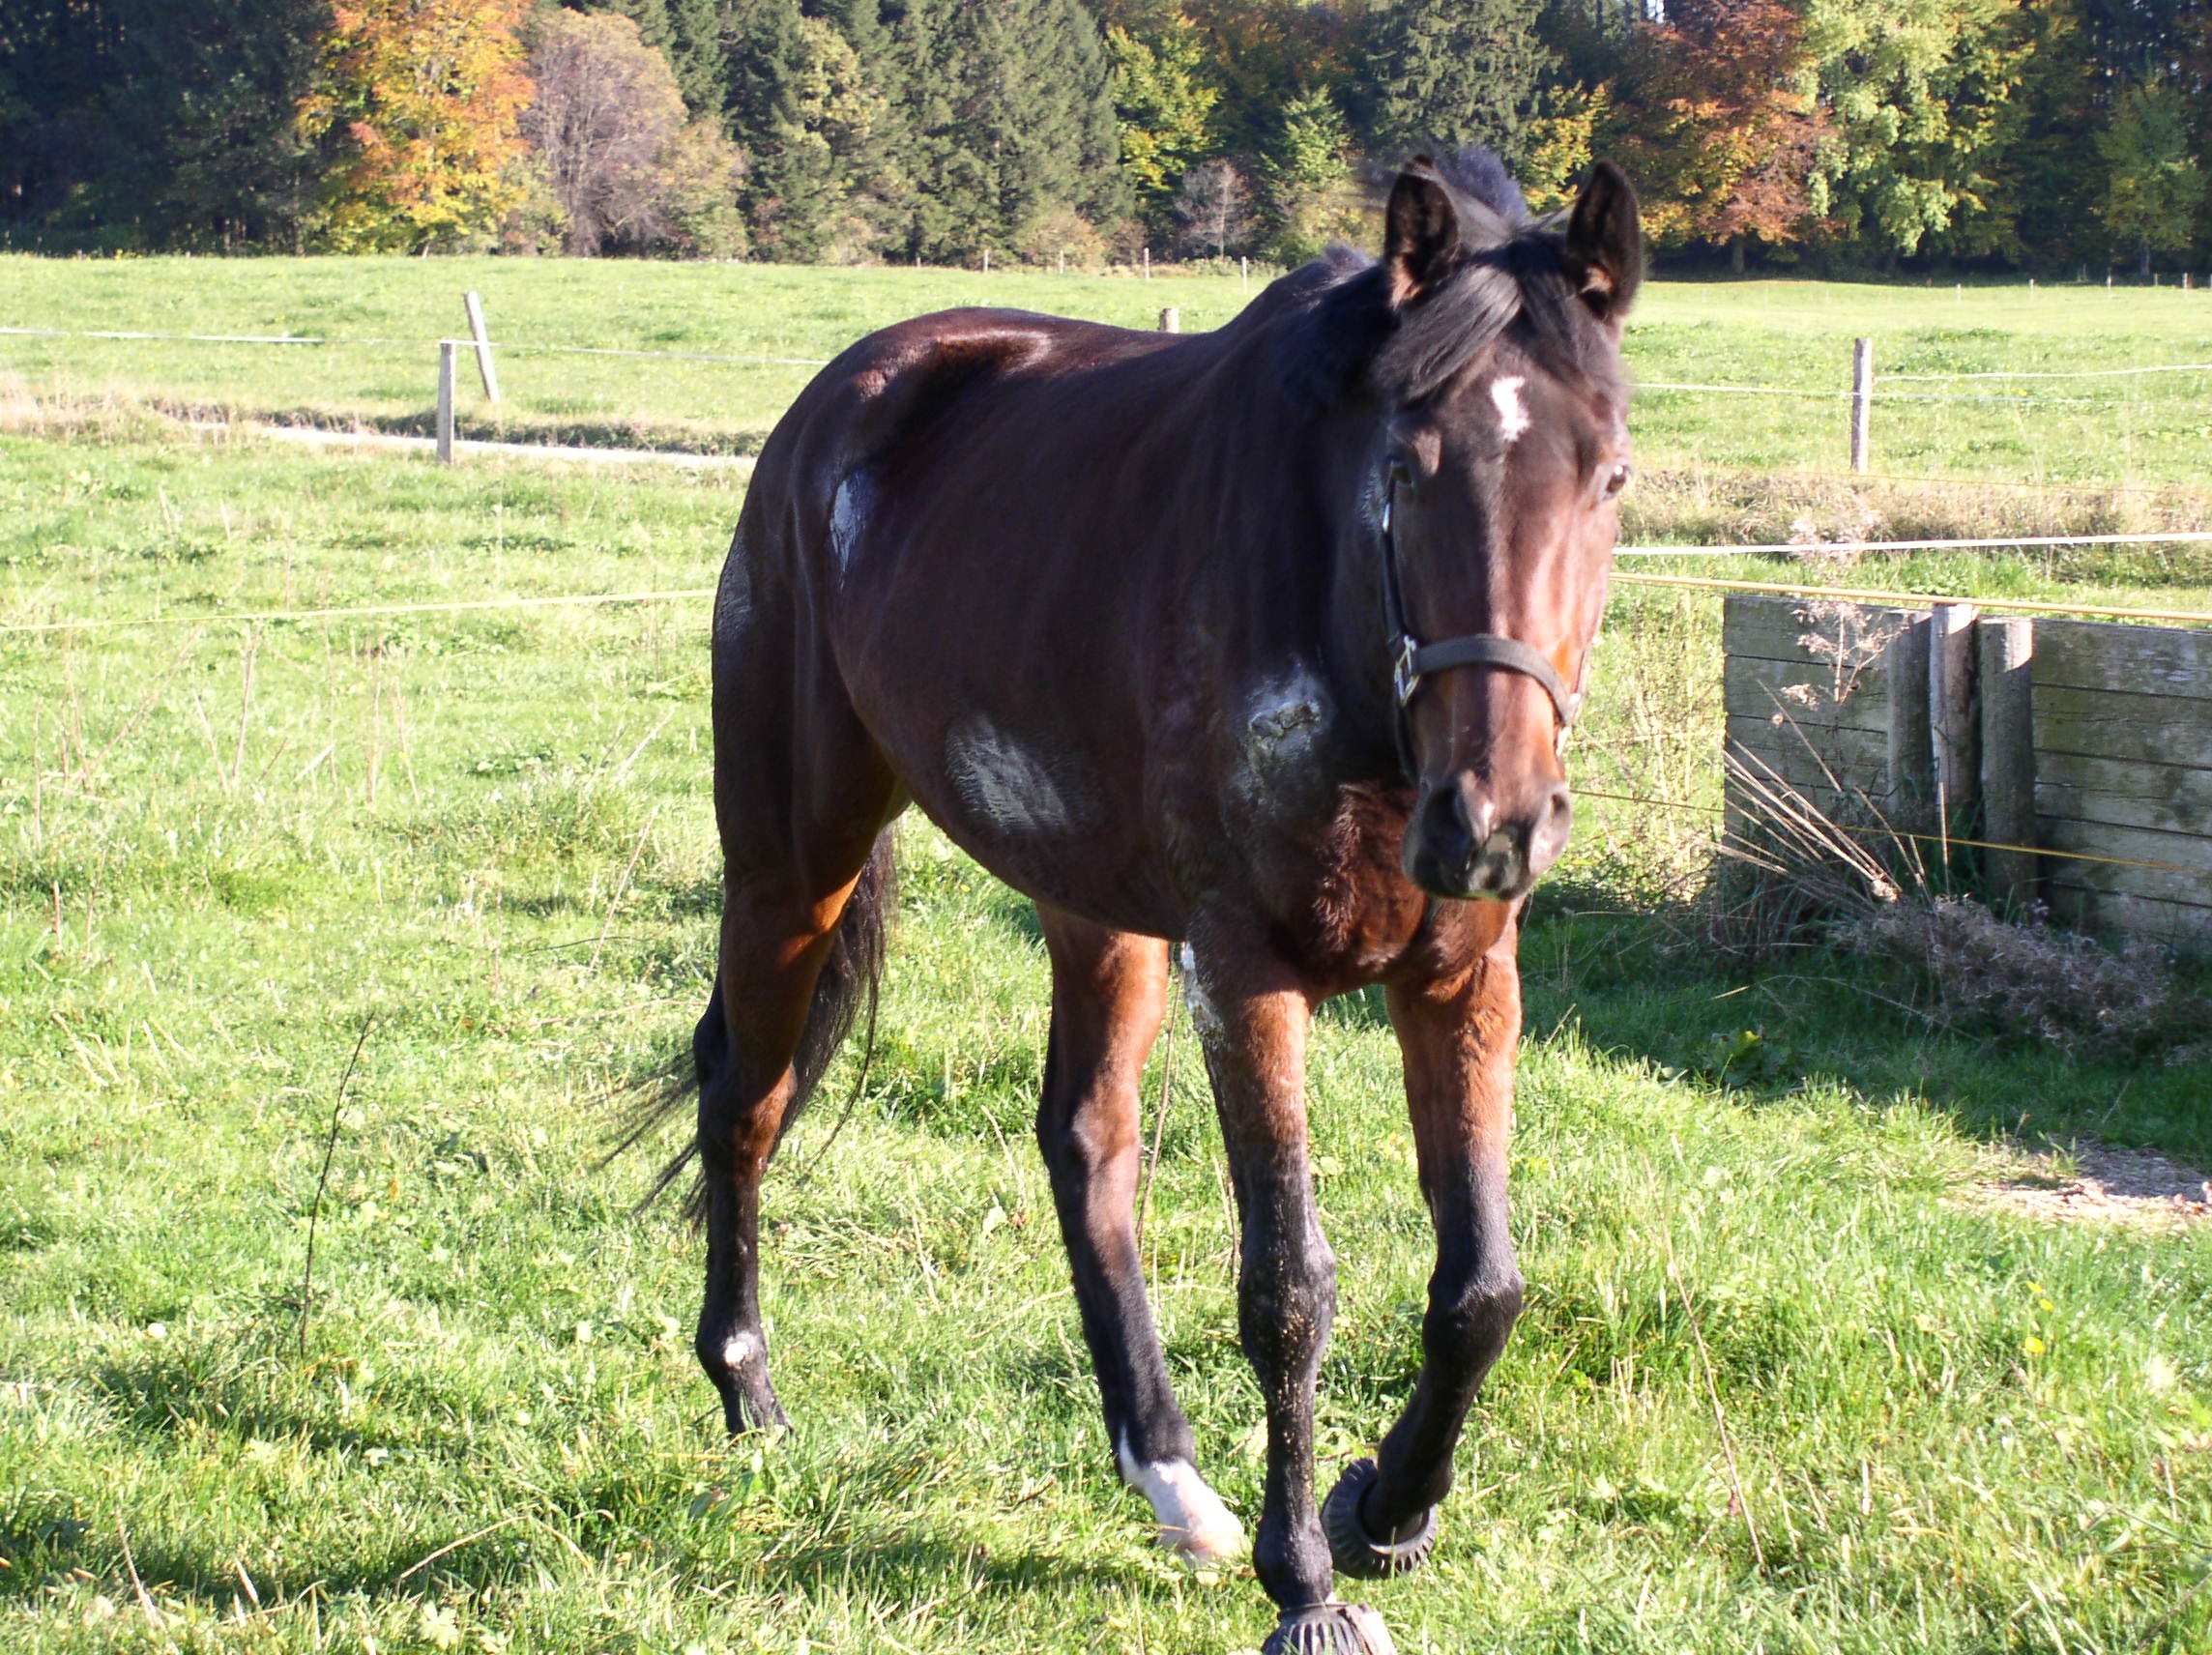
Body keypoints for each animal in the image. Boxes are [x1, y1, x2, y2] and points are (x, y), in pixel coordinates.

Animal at [656, 152, 1640, 1655]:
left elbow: (1481, 1286)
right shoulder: (1246, 973)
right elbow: (1288, 1285)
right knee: (746, 1099)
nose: (1493, 821)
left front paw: (1386, 1511)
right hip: (789, 858)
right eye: (1404, 469)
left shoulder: (1464, 976)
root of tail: (843, 399)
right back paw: (748, 1390)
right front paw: (1308, 1584)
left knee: (1086, 1144)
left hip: (1091, 906)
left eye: (1609, 474)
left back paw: (1167, 1472)